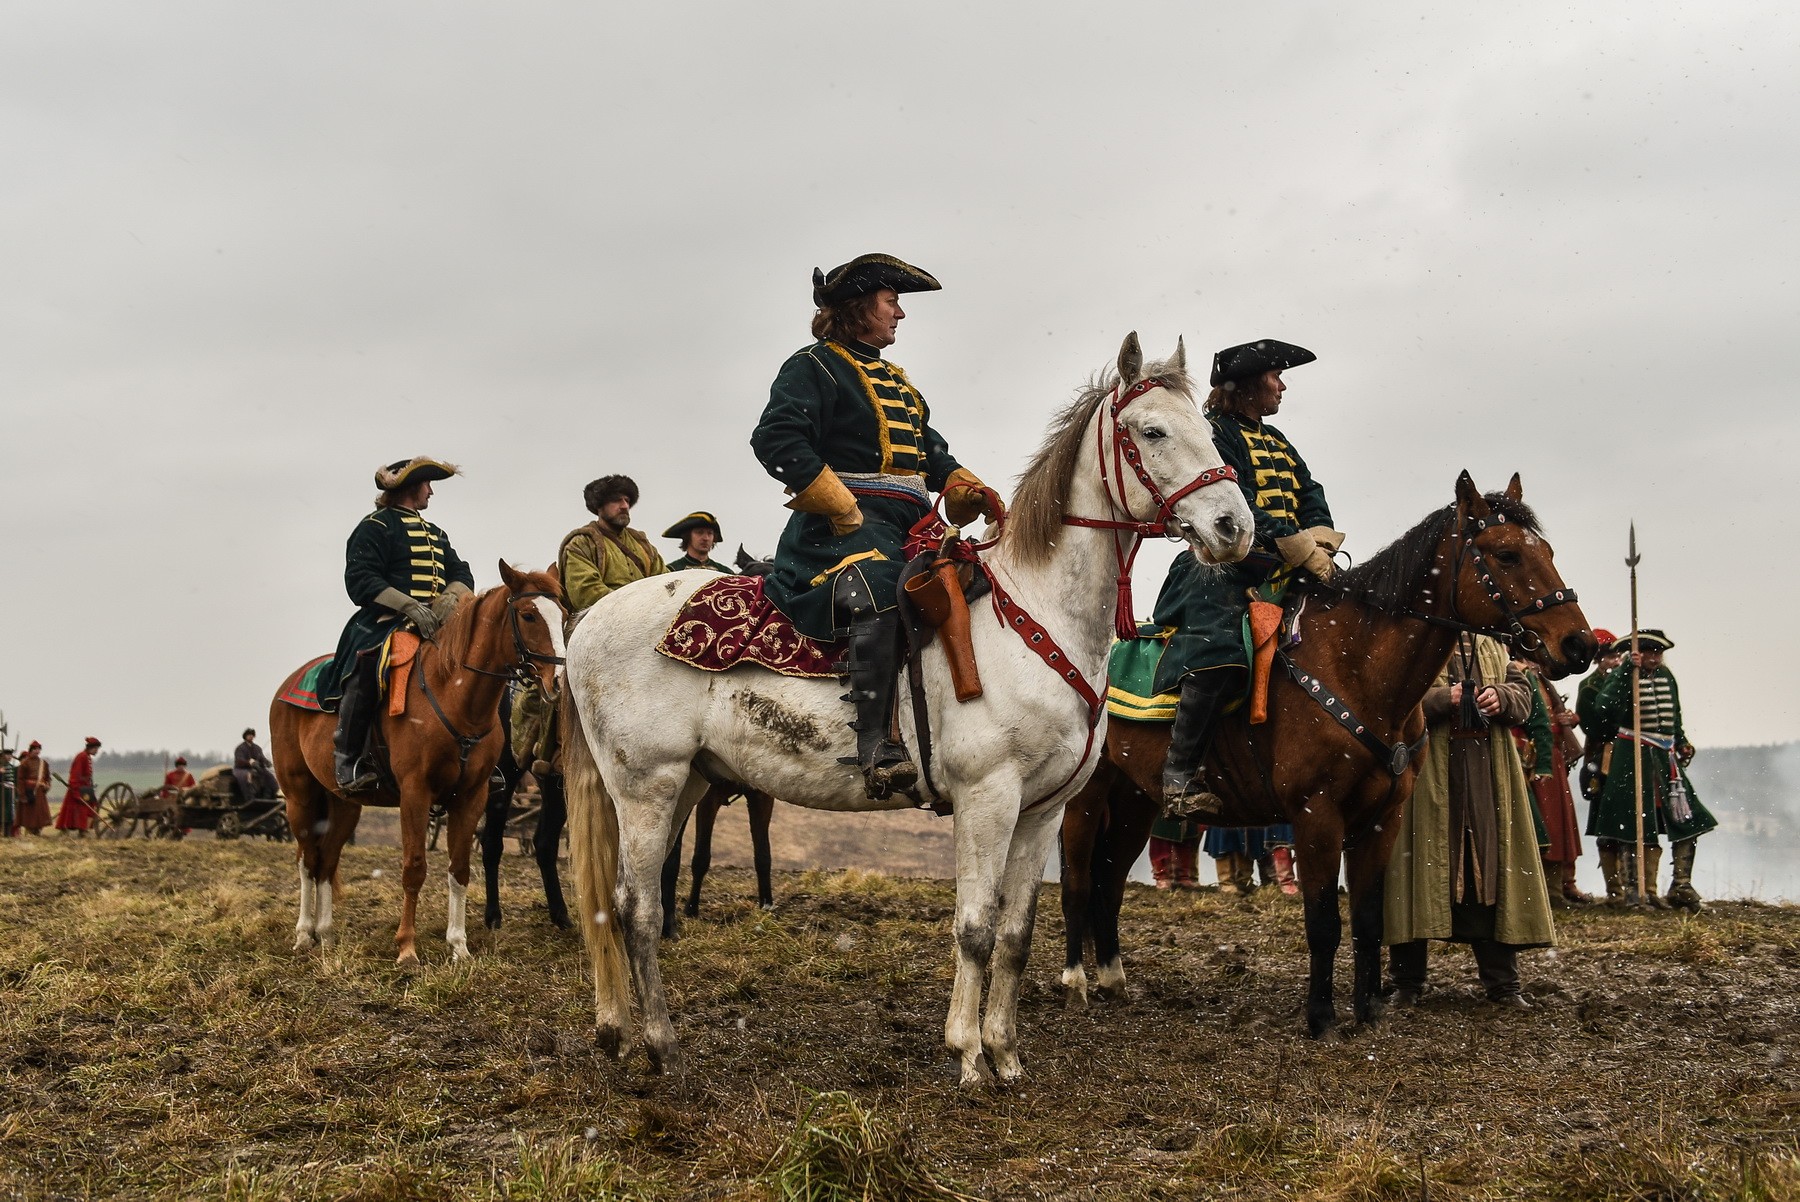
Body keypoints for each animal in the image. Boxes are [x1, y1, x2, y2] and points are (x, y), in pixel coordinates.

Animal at [273, 565, 561, 964]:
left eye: (562, 614)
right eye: (529, 615)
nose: (558, 679)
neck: (453, 695)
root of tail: (288, 684)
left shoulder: (471, 797)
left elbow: (459, 868)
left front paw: (459, 946)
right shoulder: (415, 794)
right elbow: (414, 867)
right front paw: (407, 947)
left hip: (344, 804)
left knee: (327, 860)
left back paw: (326, 933)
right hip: (299, 796)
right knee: (306, 860)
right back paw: (303, 934)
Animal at [561, 332, 1252, 1086]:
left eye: (1207, 430)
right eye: (1152, 431)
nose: (1234, 528)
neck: (1034, 611)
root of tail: (591, 618)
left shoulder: (1042, 809)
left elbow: (1016, 933)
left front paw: (1007, 1054)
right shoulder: (988, 796)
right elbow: (975, 927)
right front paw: (969, 1055)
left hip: (685, 782)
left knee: (620, 904)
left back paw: (618, 1031)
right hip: (646, 786)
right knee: (635, 907)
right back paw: (660, 1044)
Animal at [1058, 475, 1598, 1036]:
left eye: (1546, 552)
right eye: (1507, 554)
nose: (1580, 645)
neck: (1357, 665)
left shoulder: (1383, 819)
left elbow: (1367, 921)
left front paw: (1368, 1010)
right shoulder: (1316, 815)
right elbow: (1322, 924)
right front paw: (1321, 1017)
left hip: (1135, 803)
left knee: (1109, 883)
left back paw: (1113, 980)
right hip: (1084, 801)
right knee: (1077, 884)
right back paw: (1076, 983)